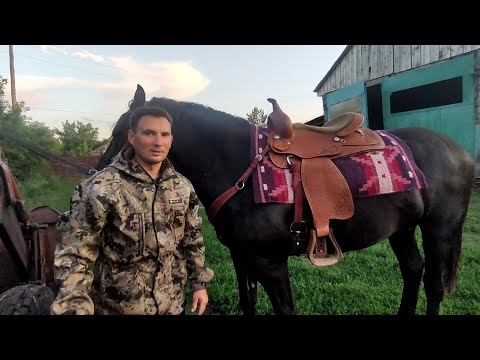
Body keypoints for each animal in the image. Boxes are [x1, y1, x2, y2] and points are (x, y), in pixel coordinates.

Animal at [95, 84, 474, 316]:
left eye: (122, 131)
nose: (99, 175)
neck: (238, 166)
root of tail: (461, 152)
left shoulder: (269, 262)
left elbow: (284, 309)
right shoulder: (242, 257)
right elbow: (248, 301)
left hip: (439, 230)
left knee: (434, 285)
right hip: (402, 229)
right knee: (413, 270)